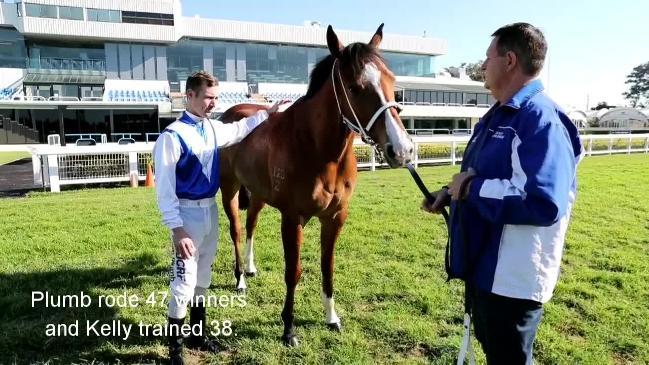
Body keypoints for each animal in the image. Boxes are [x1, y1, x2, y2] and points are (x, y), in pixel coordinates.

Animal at [216, 24, 410, 344]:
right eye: (354, 87)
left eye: (391, 80)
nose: (403, 149)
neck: (316, 148)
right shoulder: (292, 218)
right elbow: (293, 271)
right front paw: (288, 329)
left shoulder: (335, 217)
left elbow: (327, 267)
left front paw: (332, 318)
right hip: (229, 190)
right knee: (237, 230)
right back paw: (240, 279)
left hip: (257, 194)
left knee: (252, 225)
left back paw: (251, 268)